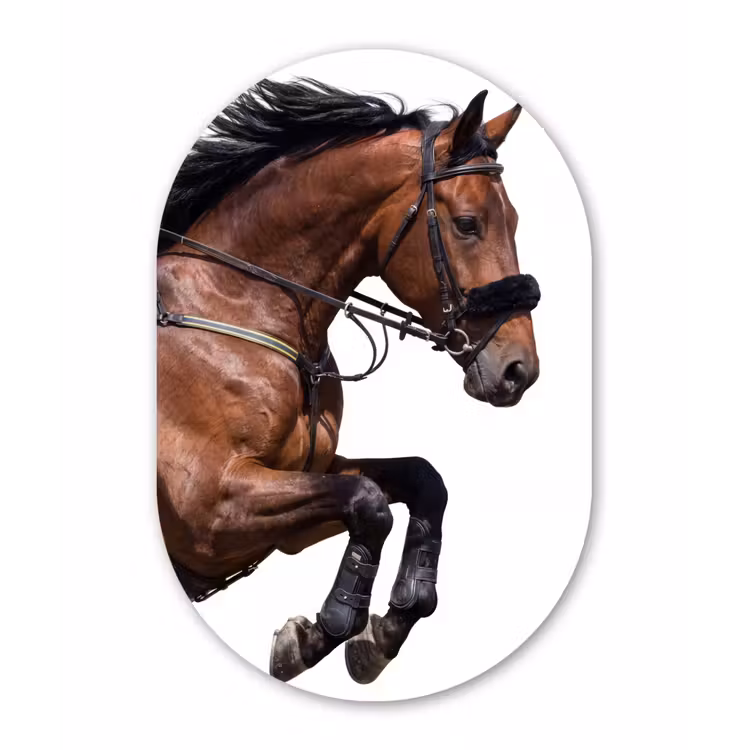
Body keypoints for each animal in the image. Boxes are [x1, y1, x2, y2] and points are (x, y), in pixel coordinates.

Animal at [156, 78, 541, 685]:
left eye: (517, 220)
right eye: (467, 224)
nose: (519, 370)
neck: (242, 305)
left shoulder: (288, 504)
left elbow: (420, 480)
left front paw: (384, 629)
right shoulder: (210, 510)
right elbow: (370, 502)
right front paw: (325, 630)